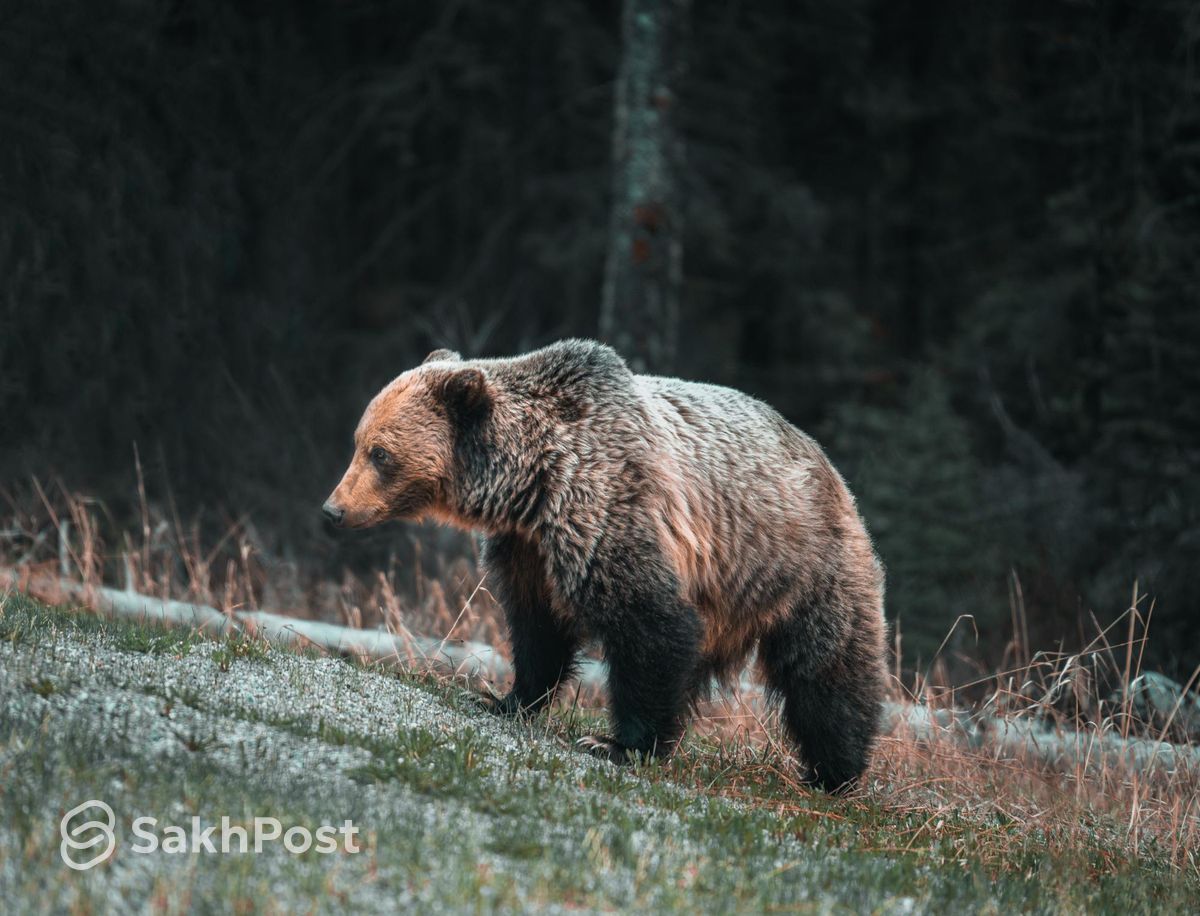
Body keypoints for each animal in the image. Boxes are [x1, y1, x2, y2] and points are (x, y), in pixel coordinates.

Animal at [324, 340, 888, 792]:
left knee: (826, 668)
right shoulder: (529, 548)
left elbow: (649, 625)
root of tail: (833, 471)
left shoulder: (610, 508)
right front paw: (503, 698)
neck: (530, 484)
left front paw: (616, 744)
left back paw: (833, 773)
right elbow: (538, 629)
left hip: (803, 564)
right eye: (358, 442)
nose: (333, 509)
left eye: (380, 454)